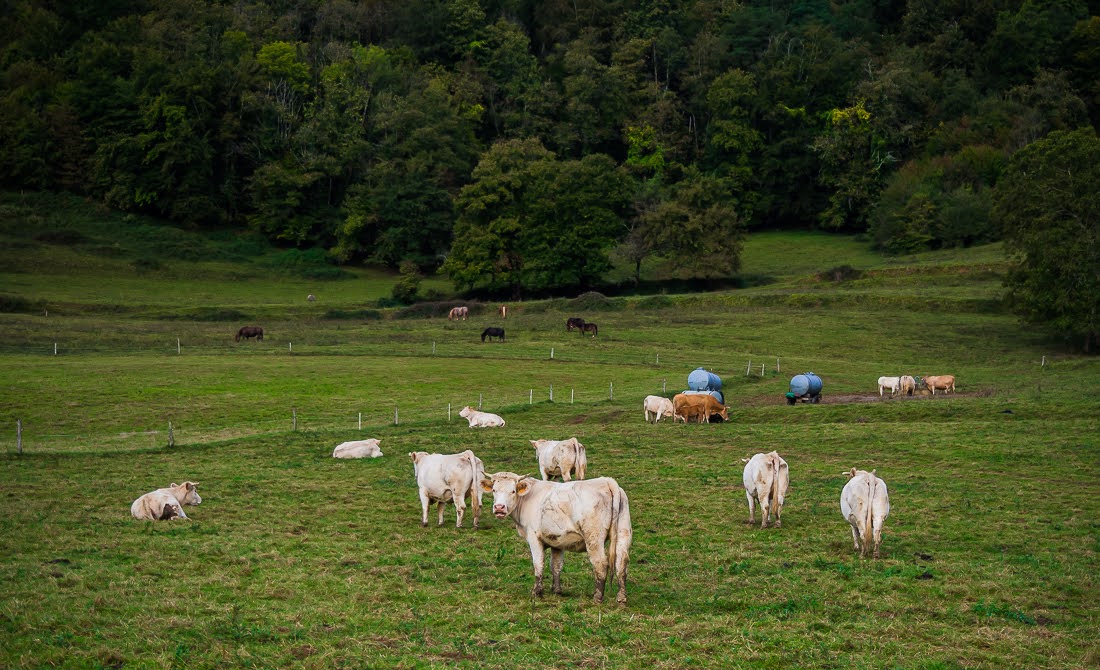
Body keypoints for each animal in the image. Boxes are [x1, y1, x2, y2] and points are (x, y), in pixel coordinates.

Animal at [479, 470, 629, 607]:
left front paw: (537, 592)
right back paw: (621, 598)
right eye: (494, 490)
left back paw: (597, 598)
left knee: (600, 564)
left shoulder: (534, 537)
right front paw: (556, 590)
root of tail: (607, 481)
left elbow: (538, 564)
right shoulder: (558, 541)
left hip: (594, 539)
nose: (499, 507)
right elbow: (556, 565)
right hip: (623, 533)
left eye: (513, 491)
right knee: (621, 563)